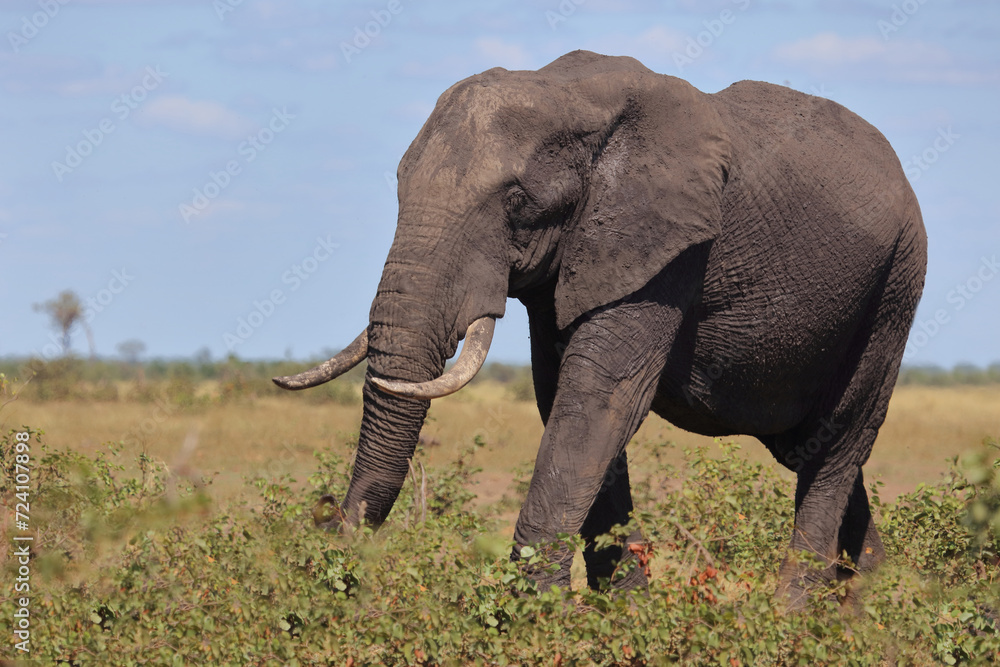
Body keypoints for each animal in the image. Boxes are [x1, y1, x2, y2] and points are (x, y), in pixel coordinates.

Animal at [274, 50, 927, 605]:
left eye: (515, 200)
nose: (328, 518)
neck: (567, 92)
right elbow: (561, 396)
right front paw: (625, 615)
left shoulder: (667, 246)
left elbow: (600, 400)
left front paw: (534, 616)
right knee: (810, 449)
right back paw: (869, 613)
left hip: (895, 289)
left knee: (836, 446)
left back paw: (791, 620)